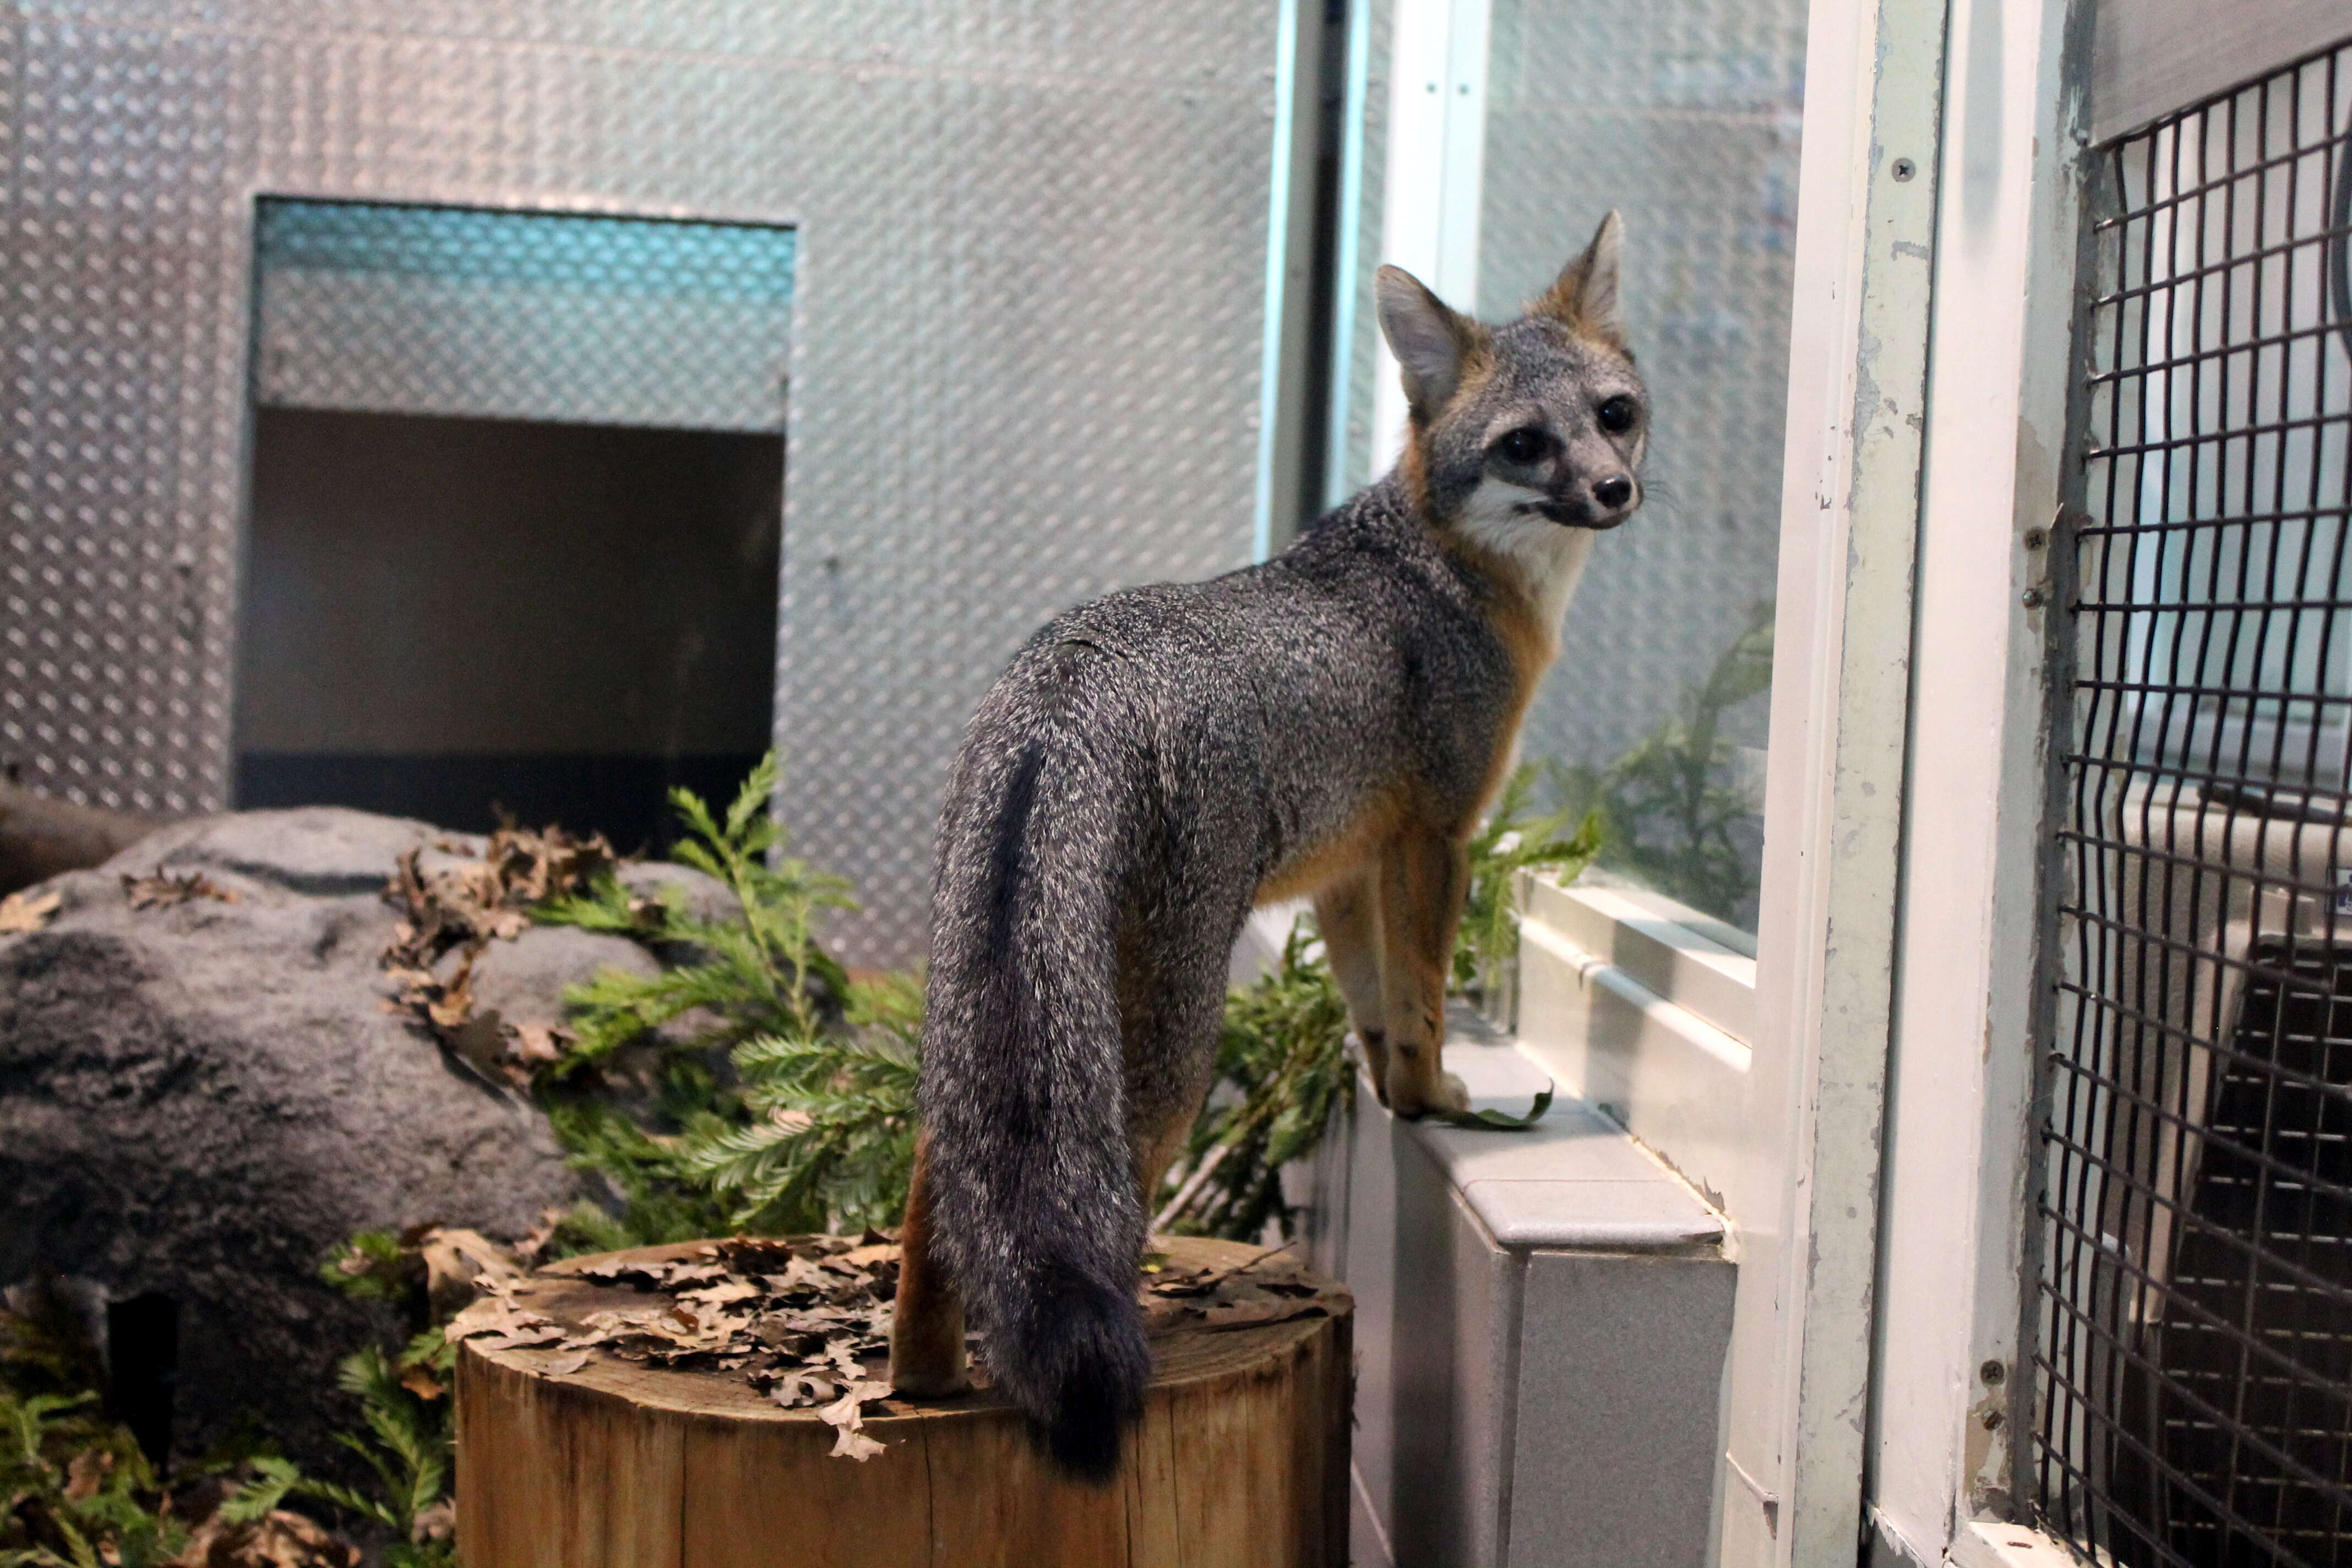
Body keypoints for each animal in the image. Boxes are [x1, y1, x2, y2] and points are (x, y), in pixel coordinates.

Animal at [889, 211, 1646, 1485]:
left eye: (1616, 412)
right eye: (1526, 444)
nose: (1615, 488)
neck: (1442, 562)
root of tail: (1069, 673)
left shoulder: (1347, 866)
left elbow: (1373, 1005)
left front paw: (1395, 1099)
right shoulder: (1438, 835)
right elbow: (1425, 996)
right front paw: (1439, 1098)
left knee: (939, 1175)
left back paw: (923, 1380)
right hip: (1168, 1046)